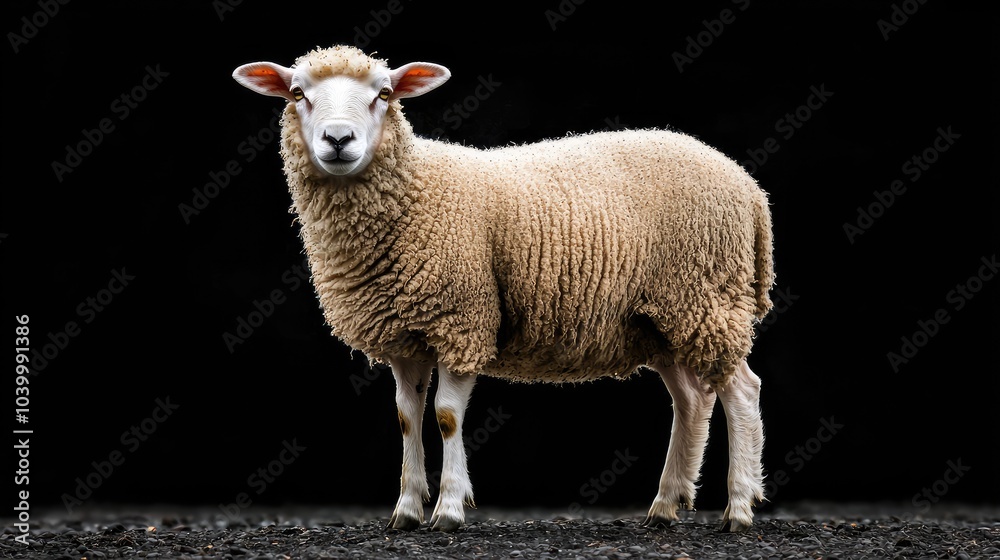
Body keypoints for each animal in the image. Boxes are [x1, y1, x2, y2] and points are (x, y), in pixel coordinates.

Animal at [232, 45, 774, 533]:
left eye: (384, 94)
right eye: (297, 94)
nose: (339, 138)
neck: (415, 191)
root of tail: (748, 186)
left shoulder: (462, 318)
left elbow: (446, 416)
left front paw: (449, 510)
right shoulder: (405, 334)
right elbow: (407, 416)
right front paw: (405, 511)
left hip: (707, 296)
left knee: (741, 391)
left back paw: (739, 508)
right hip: (665, 317)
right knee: (692, 399)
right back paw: (666, 504)